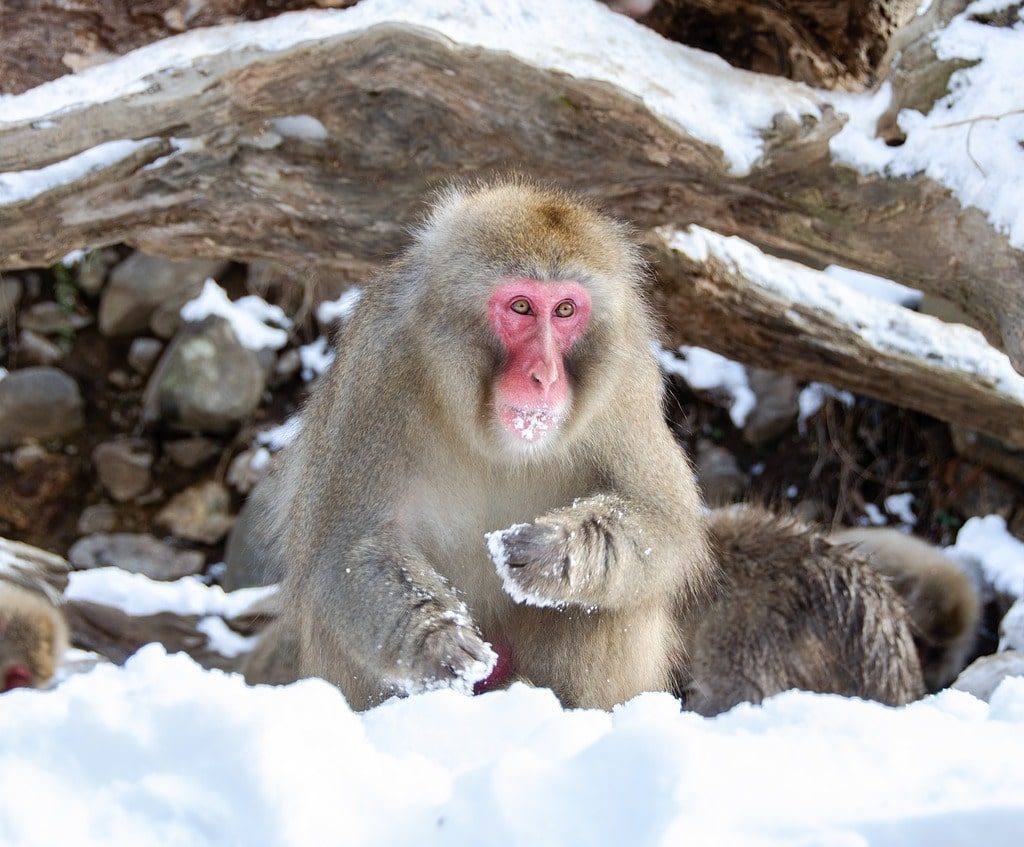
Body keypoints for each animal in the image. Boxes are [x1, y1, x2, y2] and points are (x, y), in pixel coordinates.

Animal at [241, 180, 929, 716]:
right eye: (522, 306)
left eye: (566, 311)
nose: (545, 374)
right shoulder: (378, 366)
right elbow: (346, 546)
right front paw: (434, 640)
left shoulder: (624, 377)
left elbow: (662, 521)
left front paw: (556, 553)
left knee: (614, 601)